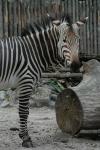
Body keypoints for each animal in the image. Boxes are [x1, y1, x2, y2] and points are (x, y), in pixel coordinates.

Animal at [0, 14, 87, 147]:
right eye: (64, 40)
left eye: (78, 40)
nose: (76, 66)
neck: (33, 52)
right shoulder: (26, 81)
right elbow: (23, 111)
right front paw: (26, 139)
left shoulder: (23, 84)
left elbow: (26, 111)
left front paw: (23, 135)